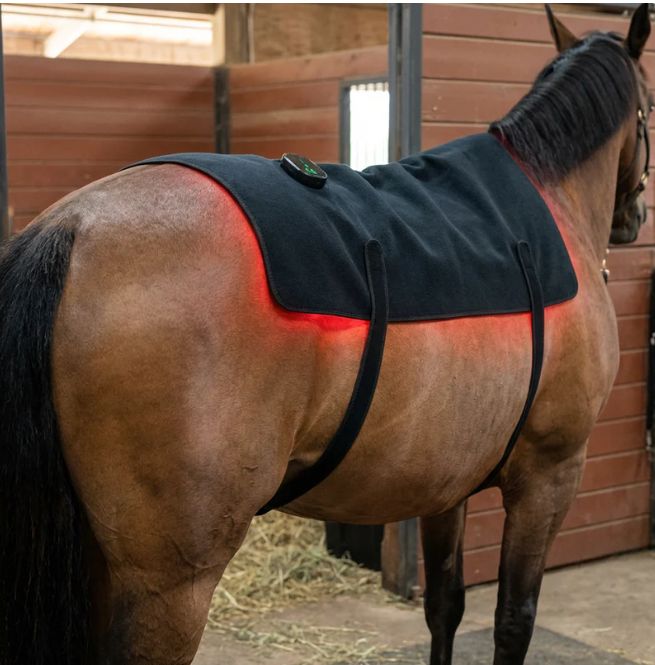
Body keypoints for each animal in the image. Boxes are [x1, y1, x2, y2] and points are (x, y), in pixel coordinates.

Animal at [0, 5, 651, 665]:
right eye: (649, 105)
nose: (633, 220)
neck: (552, 200)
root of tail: (71, 227)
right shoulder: (549, 474)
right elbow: (514, 619)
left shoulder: (450, 485)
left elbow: (445, 605)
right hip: (169, 586)